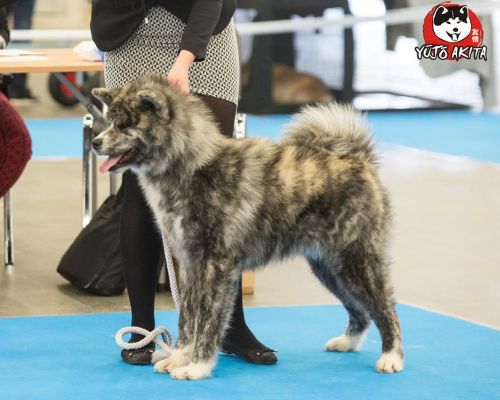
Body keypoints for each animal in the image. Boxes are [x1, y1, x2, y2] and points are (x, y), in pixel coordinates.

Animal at [92, 74, 404, 378]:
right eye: (110, 121)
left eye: (125, 124)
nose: (95, 142)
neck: (192, 166)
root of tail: (359, 160)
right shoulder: (190, 265)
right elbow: (188, 318)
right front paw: (179, 358)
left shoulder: (216, 266)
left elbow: (208, 320)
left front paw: (197, 366)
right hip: (328, 267)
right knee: (361, 311)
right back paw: (347, 342)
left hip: (355, 261)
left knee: (385, 308)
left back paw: (391, 357)